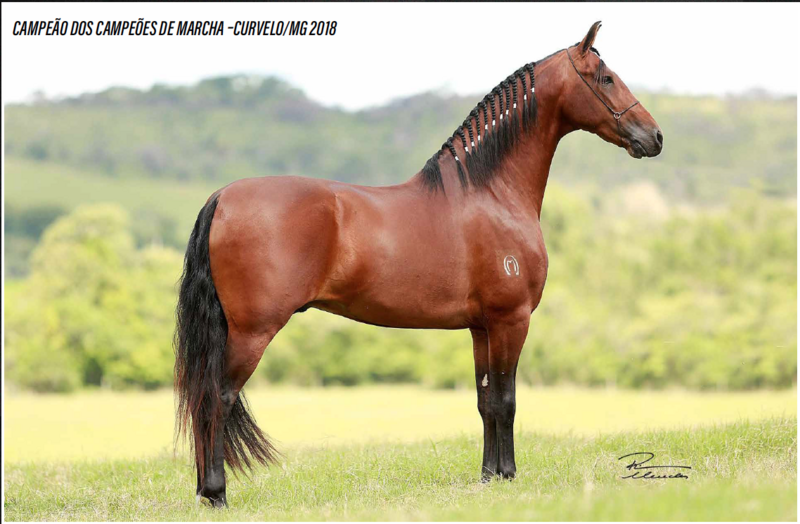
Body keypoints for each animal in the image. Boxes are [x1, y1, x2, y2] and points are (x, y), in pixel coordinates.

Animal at [175, 21, 663, 507]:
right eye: (606, 78)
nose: (654, 137)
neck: (489, 192)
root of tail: (222, 197)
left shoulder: (481, 327)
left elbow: (486, 401)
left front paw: (487, 476)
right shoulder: (511, 319)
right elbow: (507, 400)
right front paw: (508, 475)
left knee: (203, 400)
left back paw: (203, 491)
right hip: (252, 332)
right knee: (217, 398)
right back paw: (216, 494)